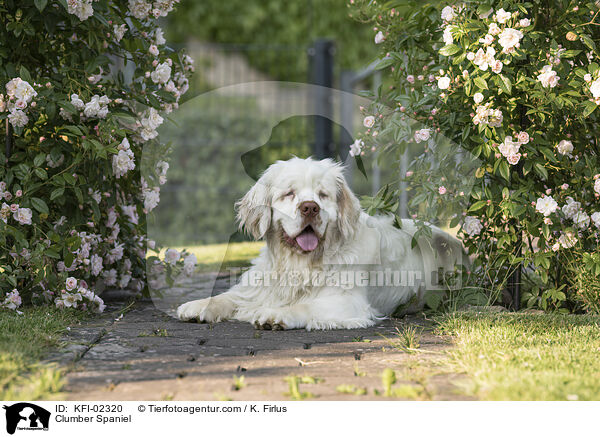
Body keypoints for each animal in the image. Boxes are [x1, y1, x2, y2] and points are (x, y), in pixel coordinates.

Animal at [175, 158, 464, 330]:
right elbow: (226, 297)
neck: (300, 264)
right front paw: (198, 305)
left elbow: (305, 305)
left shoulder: (348, 302)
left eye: (323, 195)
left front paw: (275, 314)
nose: (310, 208)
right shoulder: (256, 289)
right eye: (289, 193)